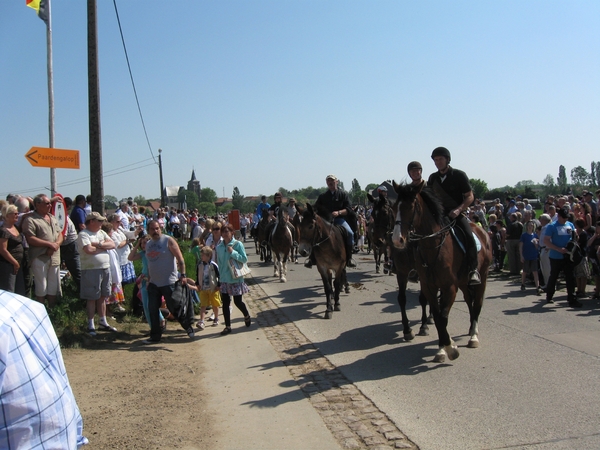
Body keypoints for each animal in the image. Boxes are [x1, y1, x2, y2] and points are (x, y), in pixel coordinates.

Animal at [390, 181, 492, 360]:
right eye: (395, 207)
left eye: (411, 207)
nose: (397, 240)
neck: (433, 245)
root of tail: (482, 231)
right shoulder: (429, 286)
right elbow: (438, 317)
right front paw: (442, 347)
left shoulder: (449, 287)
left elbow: (443, 317)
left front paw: (450, 348)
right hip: (463, 281)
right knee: (469, 300)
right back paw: (470, 329)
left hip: (483, 277)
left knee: (478, 303)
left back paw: (473, 335)